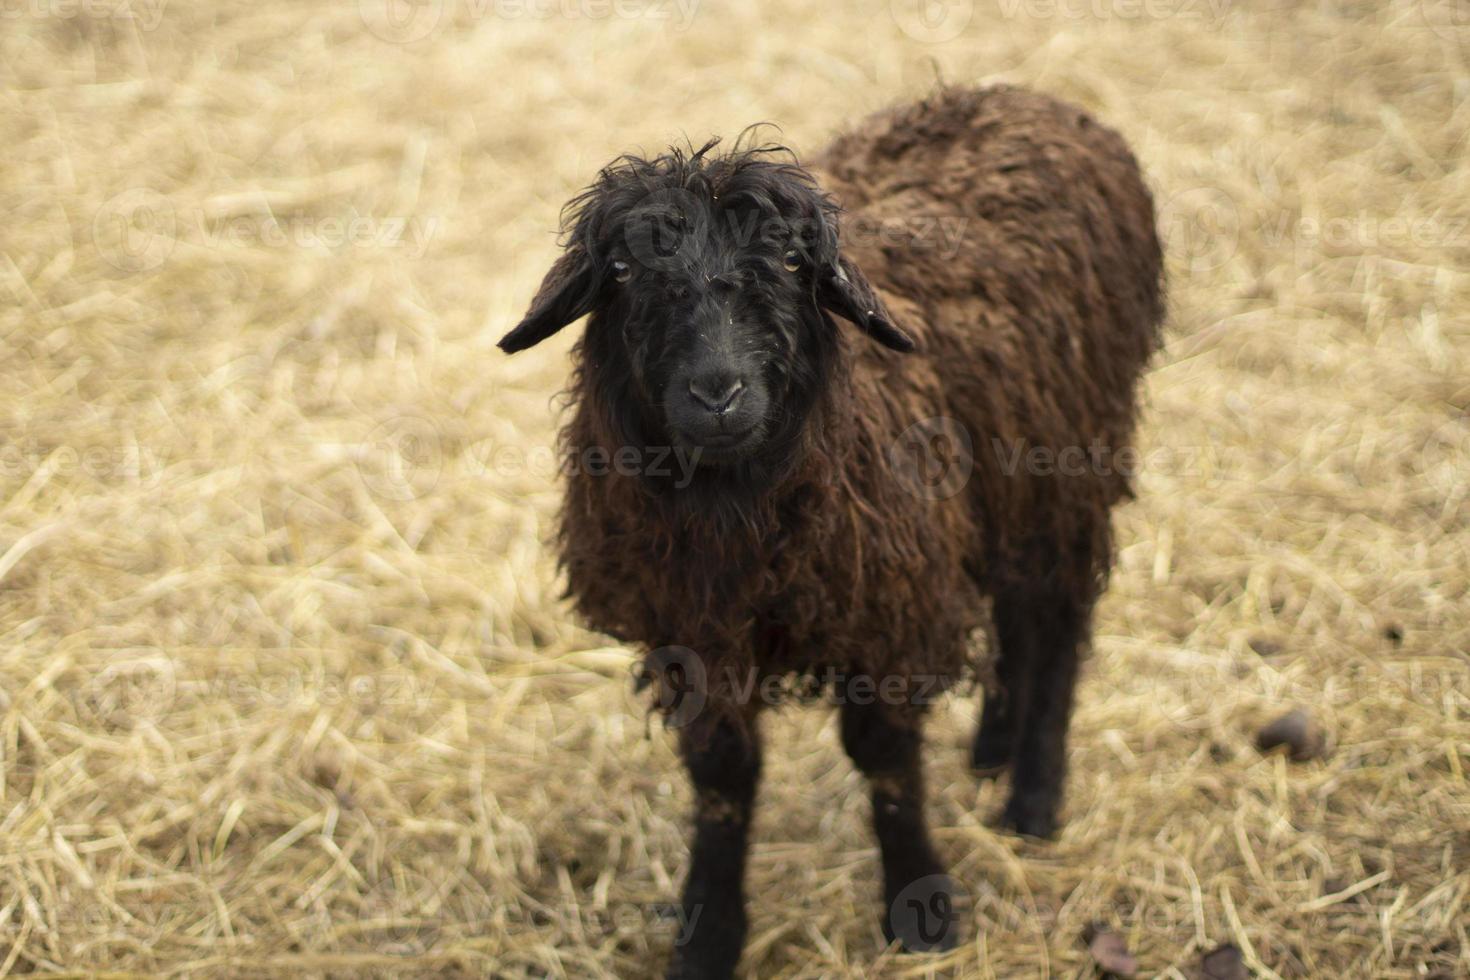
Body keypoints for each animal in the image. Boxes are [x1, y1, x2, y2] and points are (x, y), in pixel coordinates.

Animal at [499, 86, 1164, 980]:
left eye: (789, 265)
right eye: (628, 272)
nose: (718, 392)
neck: (737, 518)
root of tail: (1026, 96)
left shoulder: (888, 613)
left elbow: (885, 761)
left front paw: (920, 908)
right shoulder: (692, 632)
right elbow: (722, 777)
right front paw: (708, 935)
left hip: (1069, 473)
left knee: (1054, 622)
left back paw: (1032, 798)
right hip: (1001, 492)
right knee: (1012, 614)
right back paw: (991, 746)